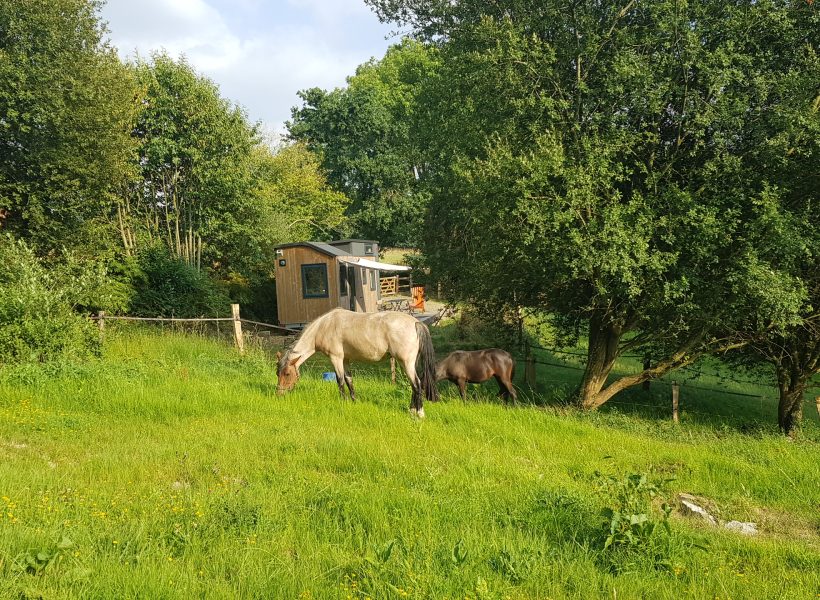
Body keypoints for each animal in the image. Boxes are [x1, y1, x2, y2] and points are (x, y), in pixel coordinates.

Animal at [276, 310, 438, 418]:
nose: (279, 394)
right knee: (413, 385)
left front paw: (343, 402)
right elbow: (349, 381)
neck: (324, 326)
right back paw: (412, 410)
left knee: (417, 384)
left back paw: (419, 414)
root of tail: (416, 322)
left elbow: (340, 381)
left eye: (287, 373)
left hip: (406, 363)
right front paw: (354, 401)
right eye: (277, 373)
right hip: (408, 363)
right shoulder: (345, 360)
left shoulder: (336, 358)